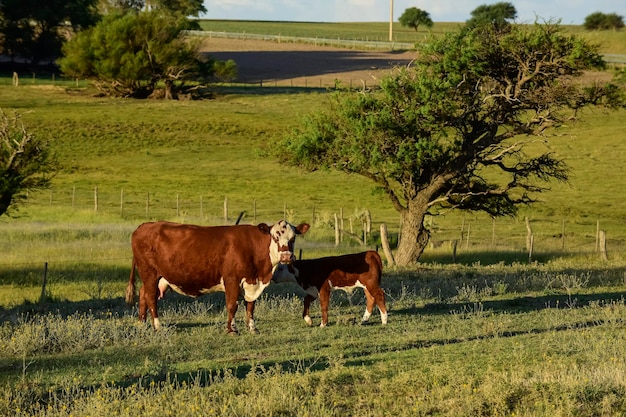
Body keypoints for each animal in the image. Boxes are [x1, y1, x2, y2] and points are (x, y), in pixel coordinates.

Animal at [123, 219, 308, 334]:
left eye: (293, 238)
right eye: (275, 236)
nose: (286, 257)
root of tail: (145, 225)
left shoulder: (251, 283)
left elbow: (250, 306)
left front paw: (252, 328)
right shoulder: (232, 279)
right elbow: (232, 305)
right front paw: (232, 329)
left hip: (155, 277)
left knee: (143, 295)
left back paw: (142, 323)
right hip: (149, 273)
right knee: (150, 298)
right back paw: (157, 325)